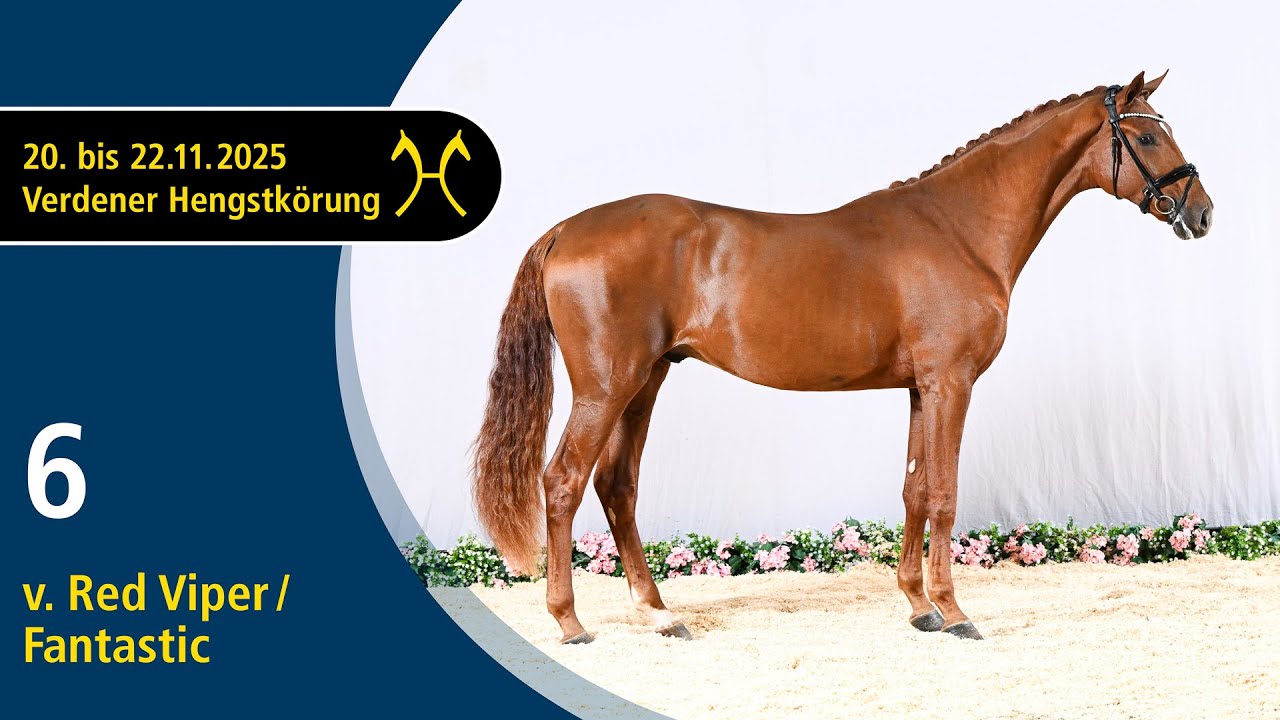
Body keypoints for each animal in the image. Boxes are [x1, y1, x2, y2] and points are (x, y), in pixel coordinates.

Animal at [472, 71, 1213, 643]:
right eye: (1148, 136)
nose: (1202, 213)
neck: (959, 229)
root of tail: (564, 230)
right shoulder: (951, 384)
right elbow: (944, 495)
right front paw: (954, 612)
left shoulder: (920, 389)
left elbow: (915, 488)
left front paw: (918, 607)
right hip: (607, 387)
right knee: (563, 483)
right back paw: (570, 623)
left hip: (646, 382)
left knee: (616, 486)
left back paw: (660, 615)